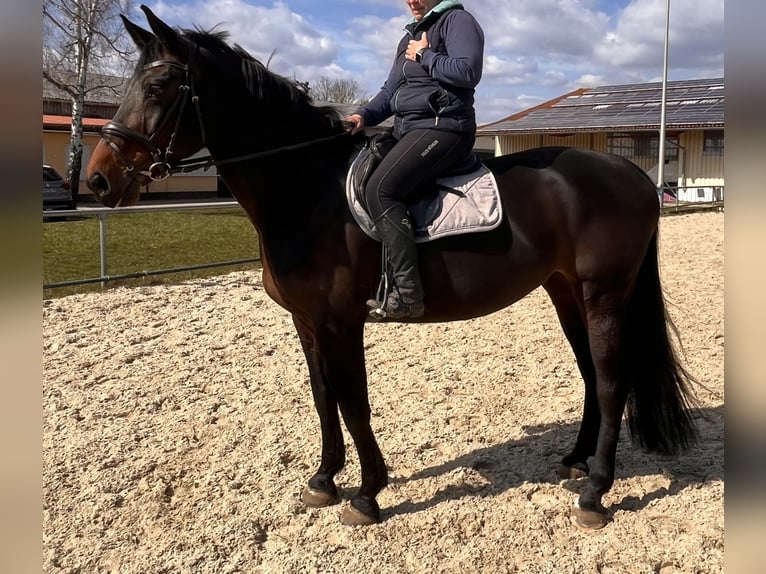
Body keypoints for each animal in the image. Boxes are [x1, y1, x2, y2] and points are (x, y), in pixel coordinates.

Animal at [86, 5, 699, 530]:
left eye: (159, 86)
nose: (97, 180)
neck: (306, 190)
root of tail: (632, 172)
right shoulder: (306, 321)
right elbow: (323, 398)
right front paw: (323, 480)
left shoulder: (339, 321)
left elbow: (354, 403)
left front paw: (366, 494)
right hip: (565, 290)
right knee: (592, 374)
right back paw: (575, 463)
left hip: (603, 292)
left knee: (613, 378)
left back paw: (595, 492)